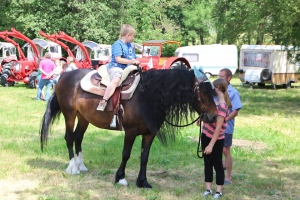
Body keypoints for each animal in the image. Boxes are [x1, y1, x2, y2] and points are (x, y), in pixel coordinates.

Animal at [40, 67, 218, 189]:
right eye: (203, 91)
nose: (214, 116)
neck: (147, 97)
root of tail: (64, 76)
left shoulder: (149, 134)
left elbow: (144, 157)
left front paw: (143, 181)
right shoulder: (131, 132)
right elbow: (126, 154)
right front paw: (120, 178)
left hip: (84, 118)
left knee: (78, 137)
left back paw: (81, 165)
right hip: (69, 114)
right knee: (69, 138)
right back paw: (72, 168)